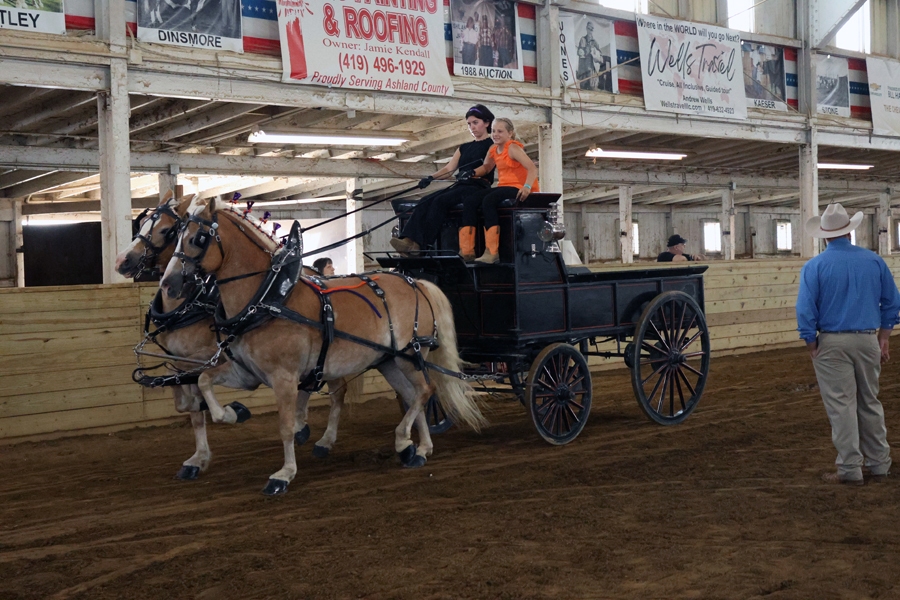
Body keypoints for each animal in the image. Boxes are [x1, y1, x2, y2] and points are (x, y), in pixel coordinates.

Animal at [115, 193, 360, 480]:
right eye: (141, 224)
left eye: (167, 231)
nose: (122, 261)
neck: (192, 304)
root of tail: (316, 274)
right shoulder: (180, 362)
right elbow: (188, 407)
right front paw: (199, 457)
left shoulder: (207, 359)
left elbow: (197, 397)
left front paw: (234, 413)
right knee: (307, 386)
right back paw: (301, 425)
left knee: (336, 390)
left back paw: (323, 439)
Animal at [160, 195, 485, 495]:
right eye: (176, 234)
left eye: (197, 238)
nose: (168, 283)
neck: (269, 299)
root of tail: (415, 282)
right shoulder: (247, 374)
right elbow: (204, 380)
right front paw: (232, 413)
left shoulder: (285, 378)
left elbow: (286, 425)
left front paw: (284, 474)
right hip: (388, 361)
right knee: (413, 395)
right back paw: (418, 449)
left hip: (409, 356)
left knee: (425, 391)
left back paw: (404, 439)